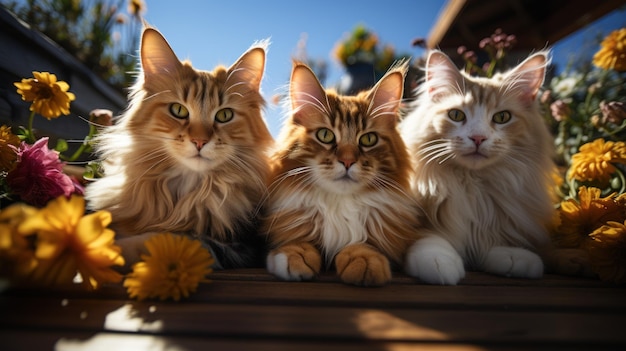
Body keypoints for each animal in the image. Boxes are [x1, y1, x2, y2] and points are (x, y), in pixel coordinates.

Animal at [86, 27, 272, 270]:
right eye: (178, 110)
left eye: (224, 115)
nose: (200, 141)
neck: (188, 190)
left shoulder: (239, 246)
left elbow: (162, 237)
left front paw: (110, 250)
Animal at [260, 61, 422, 286]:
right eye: (325, 135)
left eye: (368, 139)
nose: (347, 161)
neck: (338, 205)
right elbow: (299, 240)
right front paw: (295, 255)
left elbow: (363, 244)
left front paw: (364, 260)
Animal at [400, 49, 560, 286]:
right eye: (456, 115)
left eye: (502, 117)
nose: (478, 138)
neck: (473, 188)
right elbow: (430, 239)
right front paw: (440, 263)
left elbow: (498, 241)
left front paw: (514, 257)